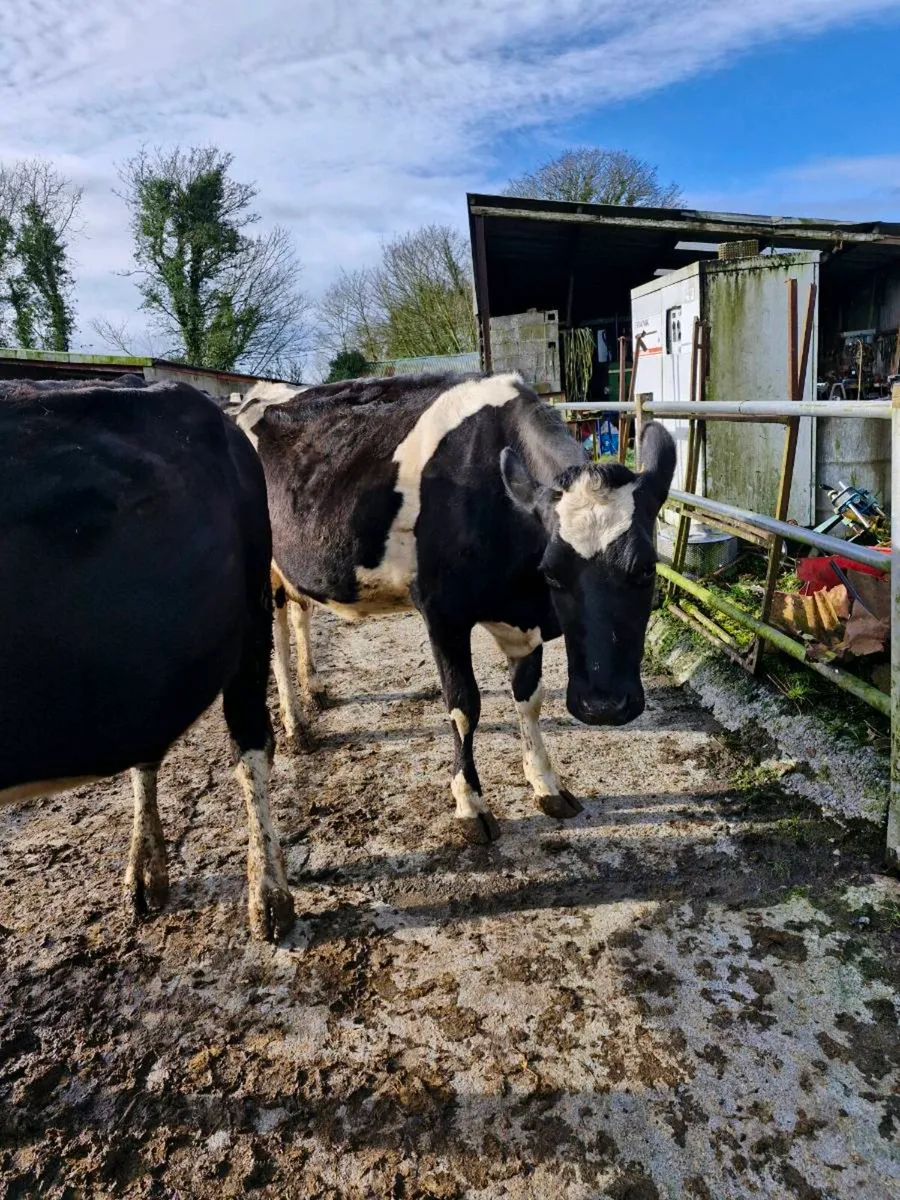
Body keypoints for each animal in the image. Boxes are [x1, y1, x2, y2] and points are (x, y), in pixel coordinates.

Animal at [231, 372, 676, 844]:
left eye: (647, 568)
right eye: (553, 572)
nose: (603, 707)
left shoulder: (526, 621)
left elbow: (529, 698)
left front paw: (546, 784)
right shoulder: (442, 614)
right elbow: (464, 707)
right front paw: (470, 805)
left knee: (301, 614)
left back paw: (314, 686)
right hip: (264, 575)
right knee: (278, 637)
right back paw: (296, 725)